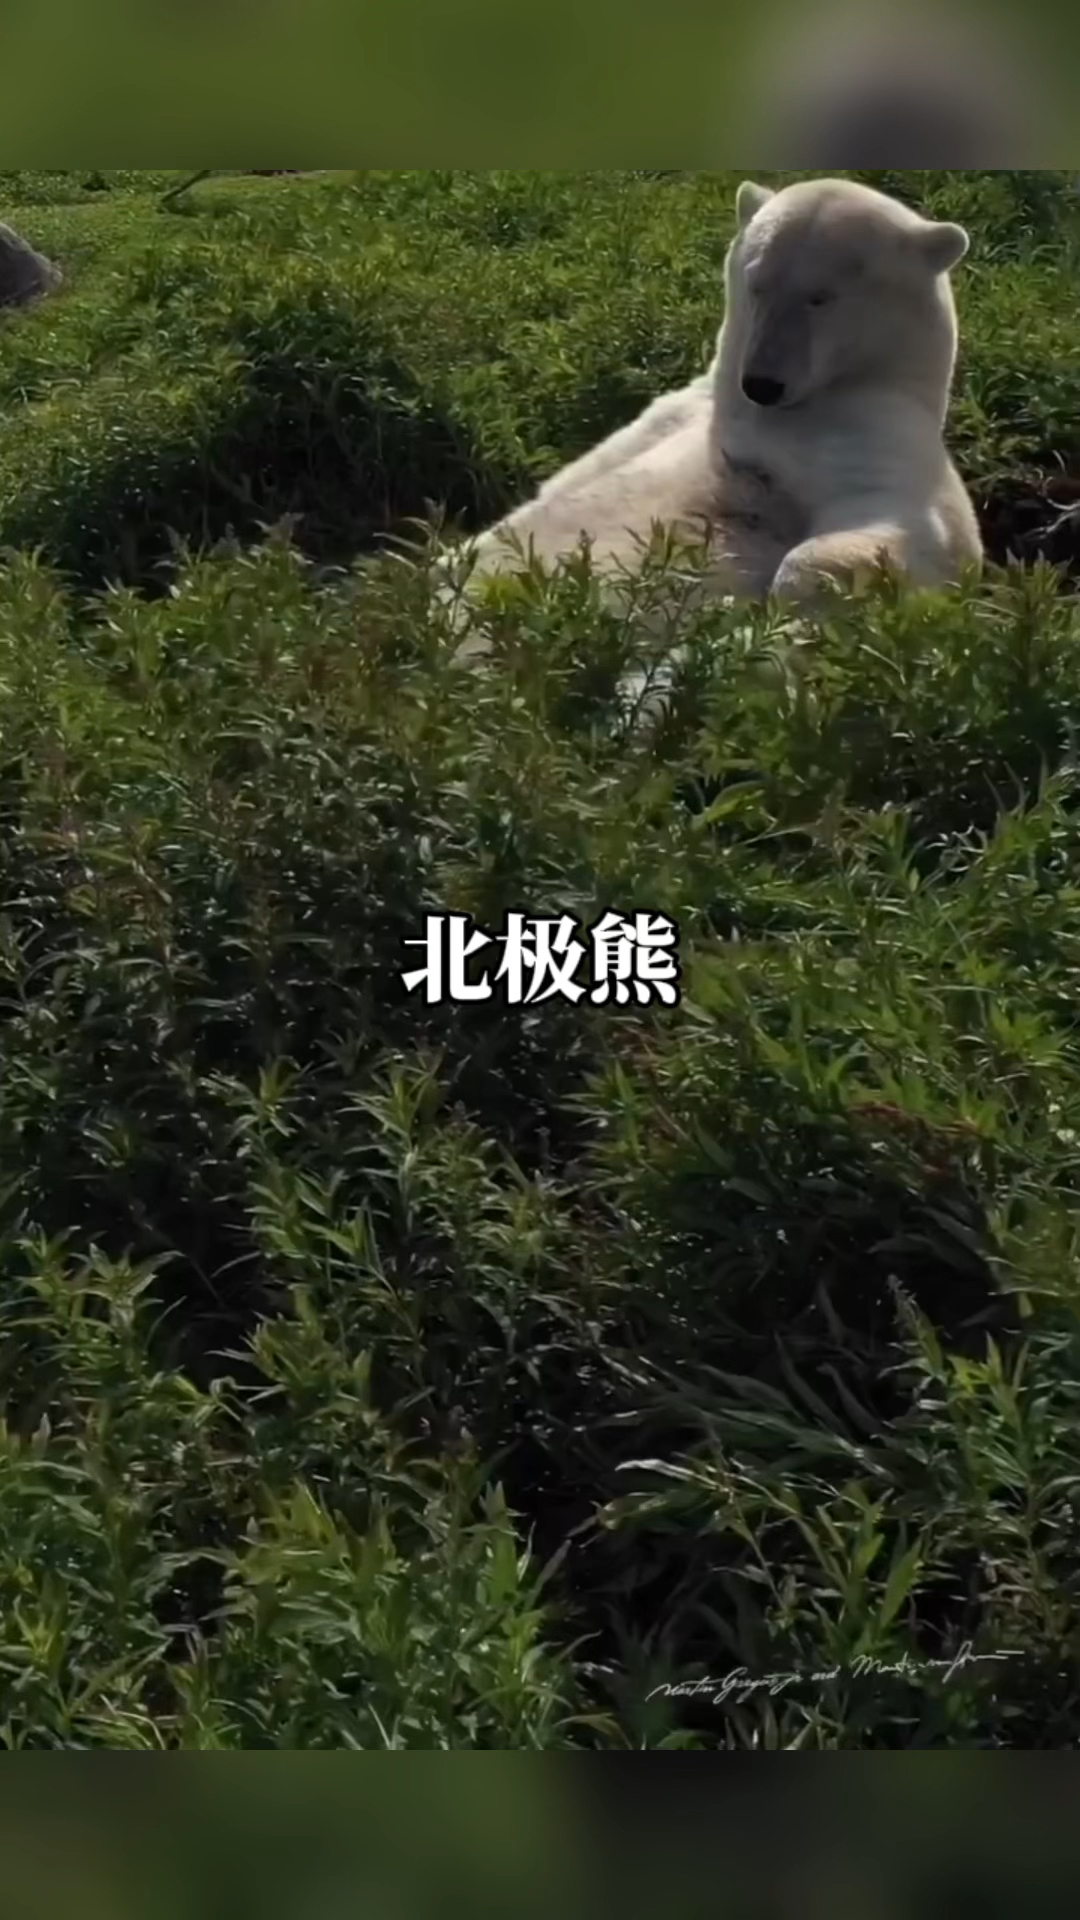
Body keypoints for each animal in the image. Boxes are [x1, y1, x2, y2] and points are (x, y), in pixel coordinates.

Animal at [449, 175, 982, 655]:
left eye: (821, 296)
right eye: (756, 283)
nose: (762, 382)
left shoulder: (878, 431)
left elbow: (906, 525)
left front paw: (786, 607)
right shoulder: (676, 411)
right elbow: (549, 494)